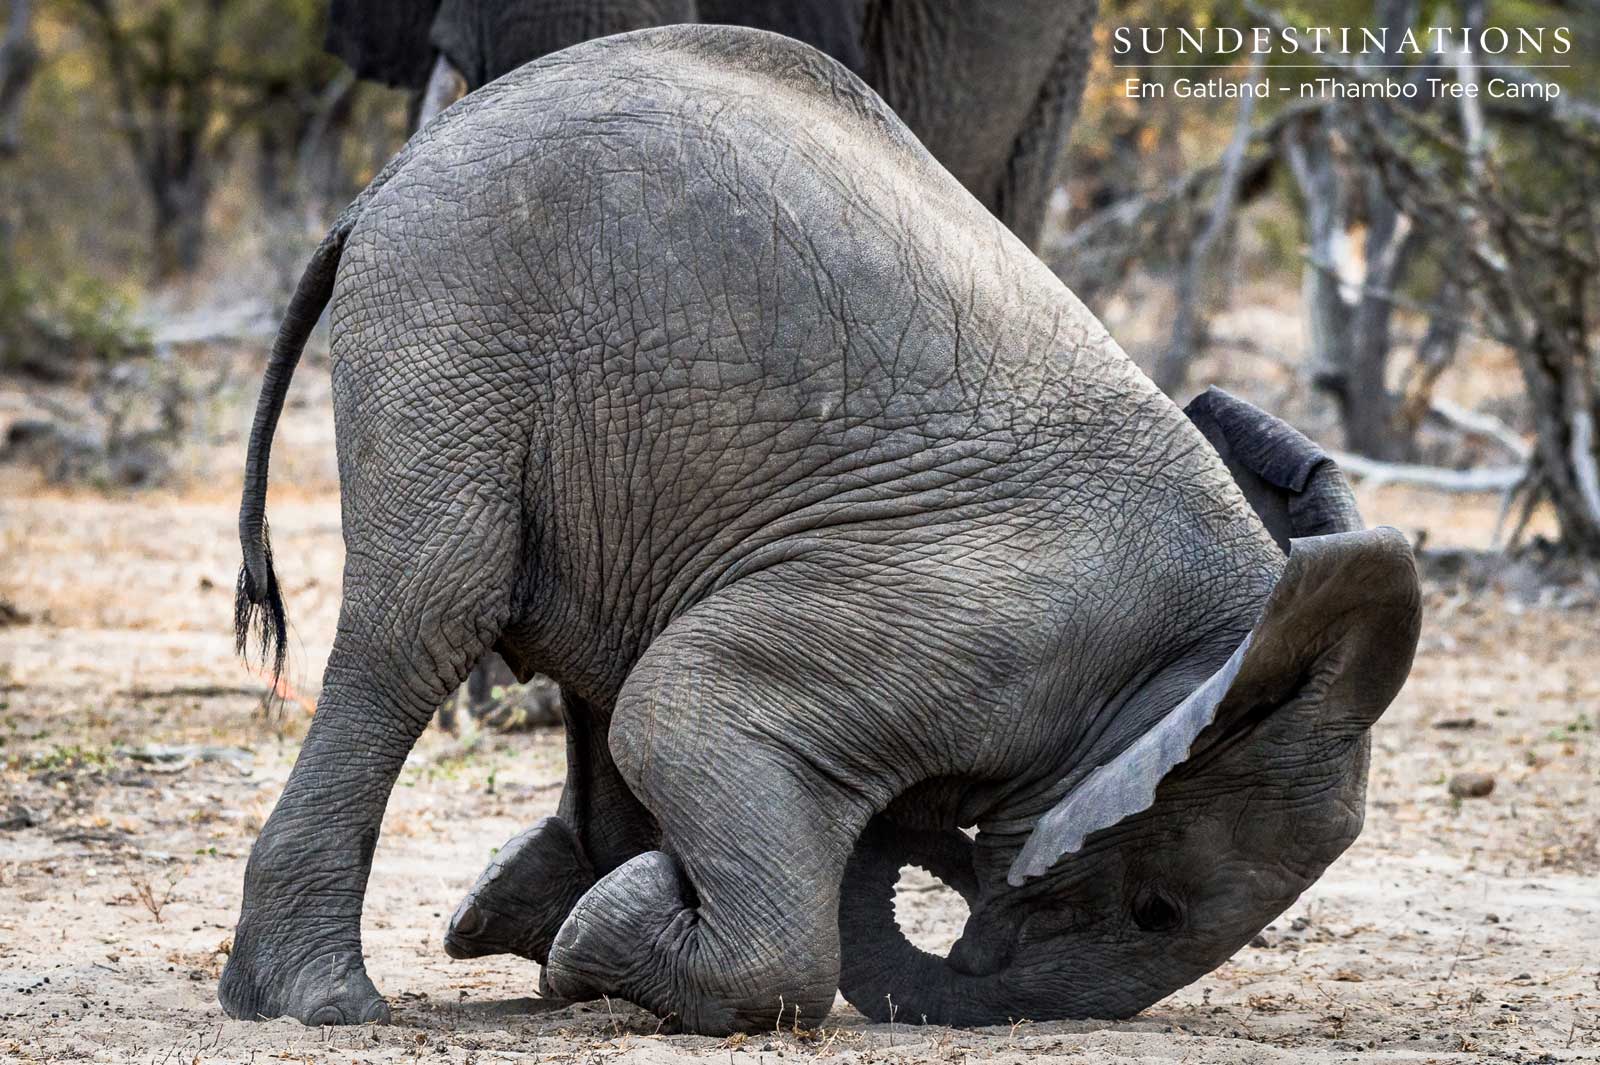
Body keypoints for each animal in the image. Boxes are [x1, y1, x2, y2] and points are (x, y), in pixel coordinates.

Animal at [220, 26, 1421, 1035]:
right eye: (1156, 909)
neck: (1219, 635)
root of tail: (385, 183)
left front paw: (568, 934)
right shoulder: (972, 628)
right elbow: (683, 708)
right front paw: (607, 931)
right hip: (455, 325)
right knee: (430, 616)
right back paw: (325, 1006)